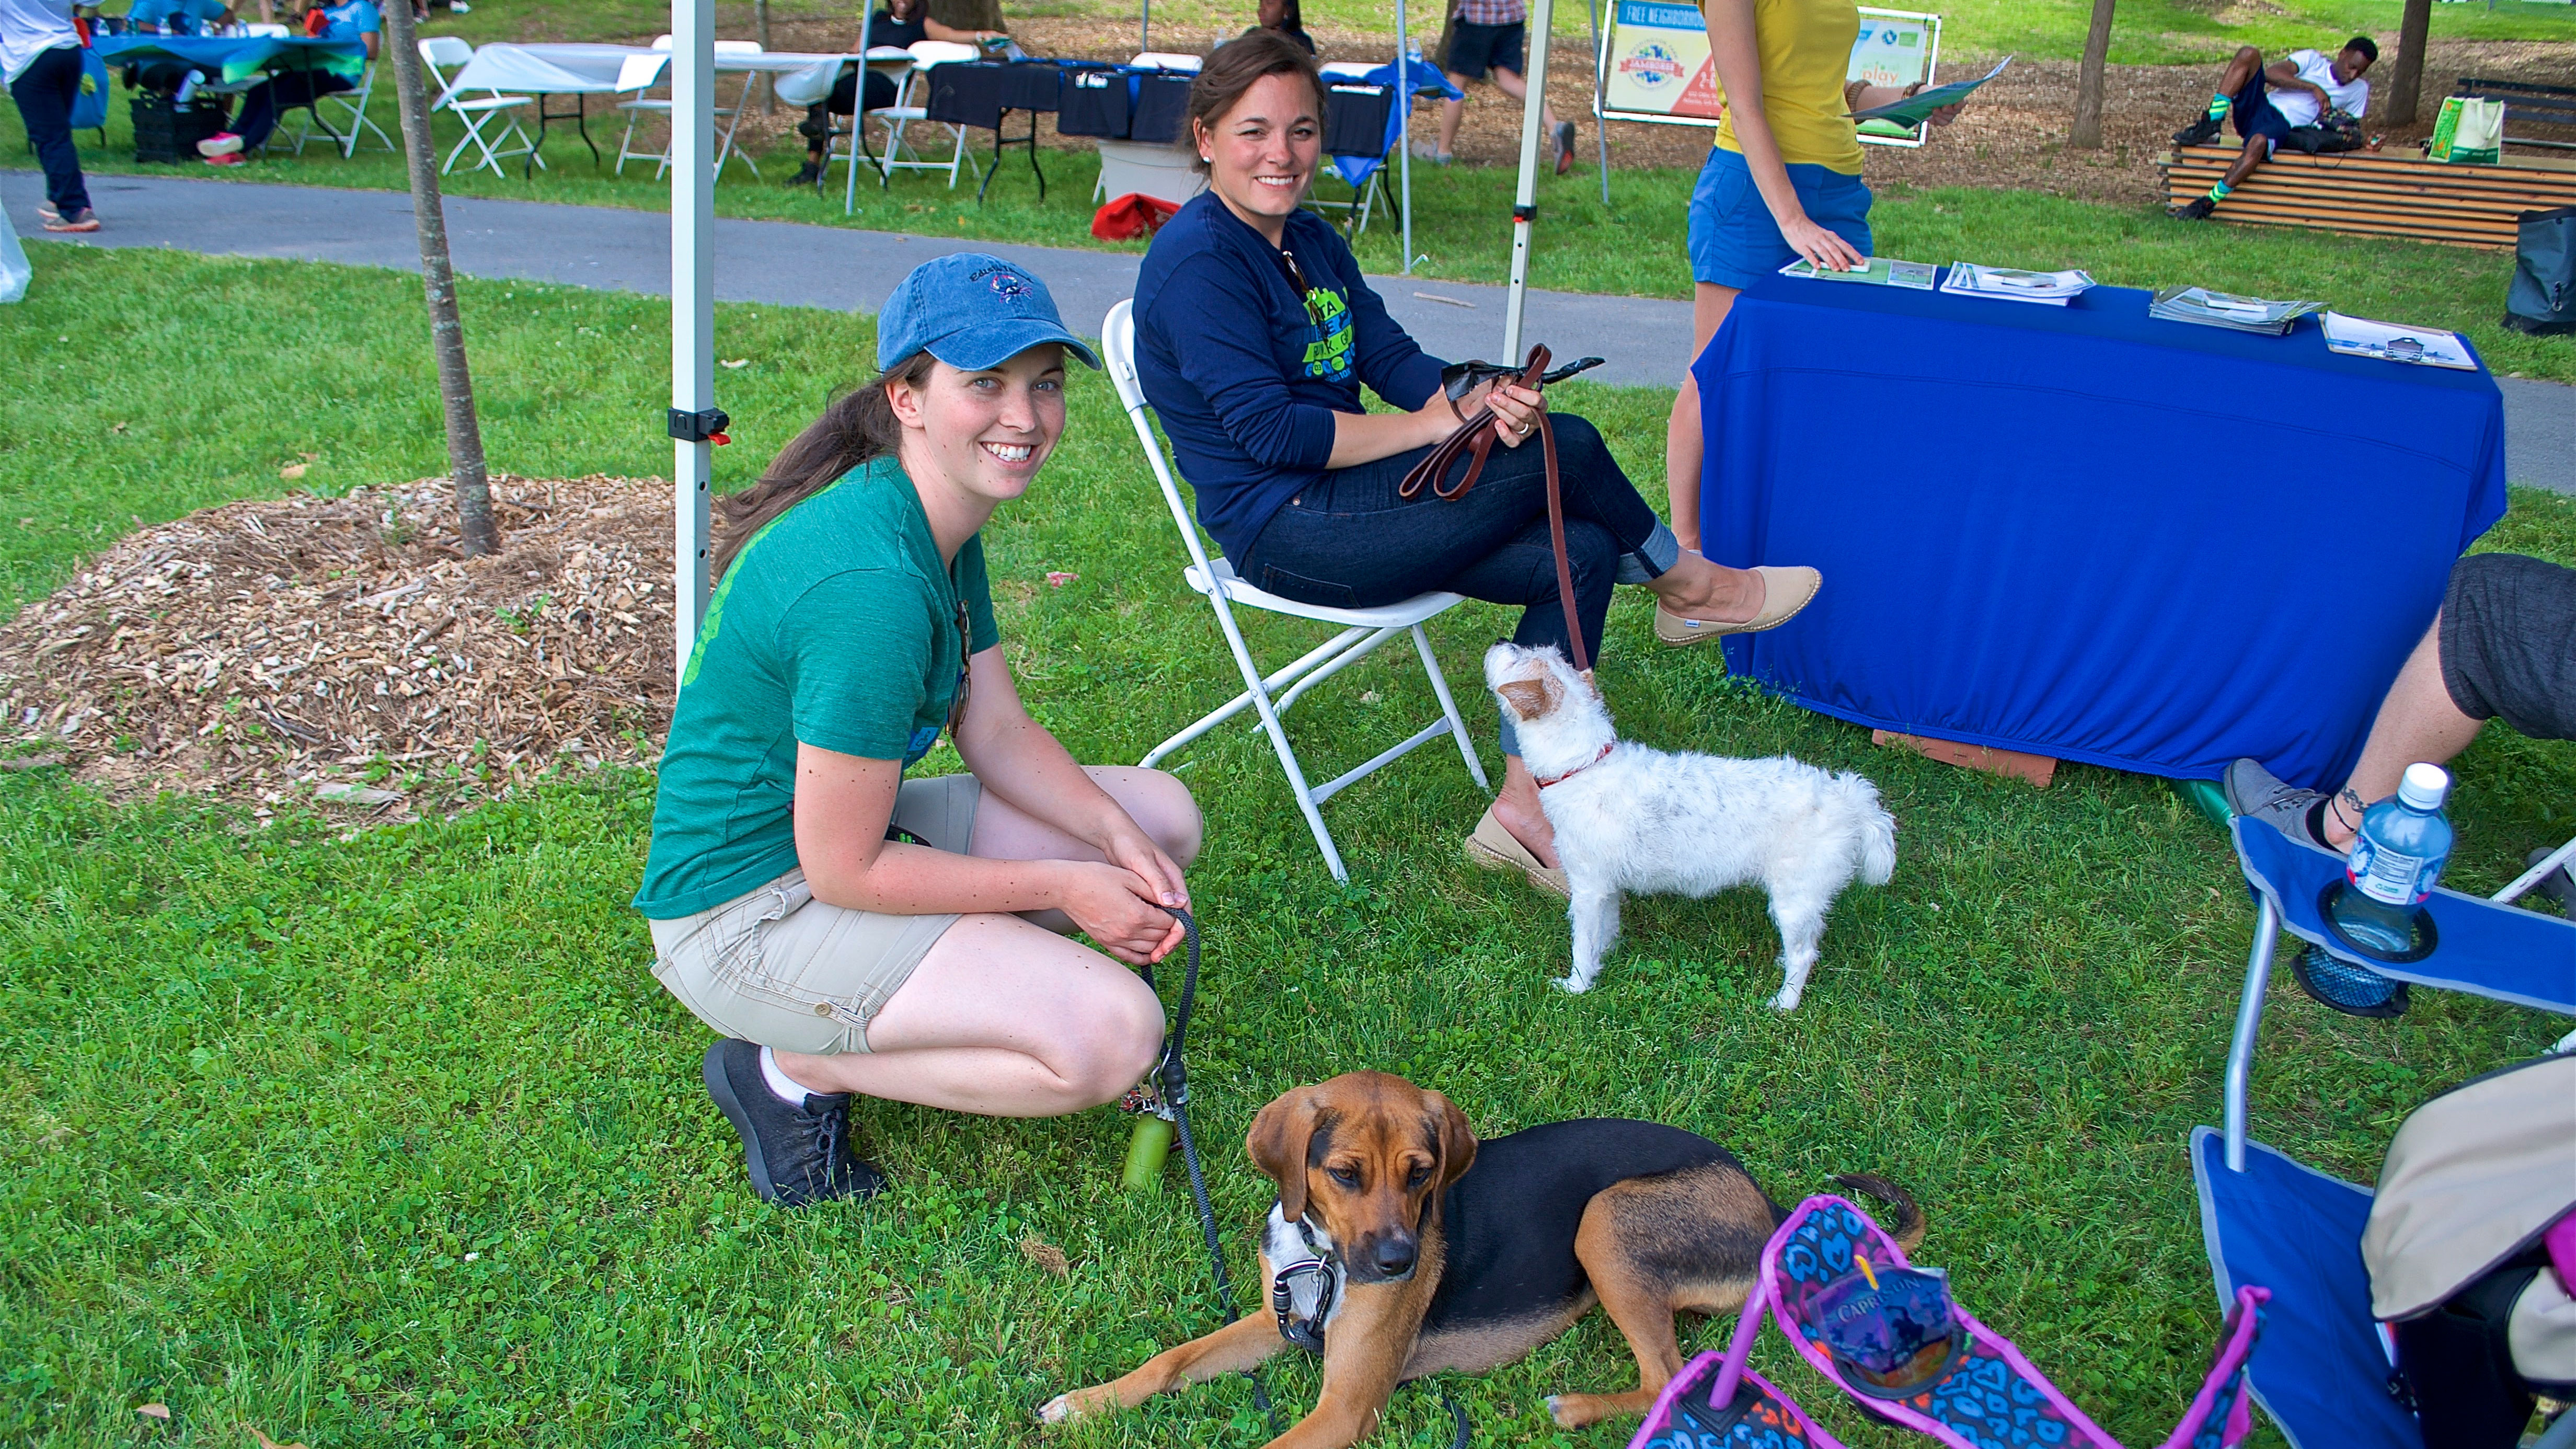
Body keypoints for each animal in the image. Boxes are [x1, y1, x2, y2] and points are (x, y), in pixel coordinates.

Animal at [1036, 1067, 1927, 1433]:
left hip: (1604, 1218)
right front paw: (1085, 1404)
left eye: (1422, 1173)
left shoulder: (1345, 1406)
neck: (1325, 1256)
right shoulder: (1274, 1321)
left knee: (1666, 1378)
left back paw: (1575, 1409)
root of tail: (1766, 1201)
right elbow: (1170, 1361)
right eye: (1344, 1174)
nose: (1399, 1264)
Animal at [1494, 637, 1896, 1010]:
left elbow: (1582, 941)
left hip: (1795, 897)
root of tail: (1849, 800)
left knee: (1804, 954)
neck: (1584, 764)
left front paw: (1577, 984)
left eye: (1517, 659)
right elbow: (1605, 930)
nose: (1501, 641)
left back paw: (1784, 1002)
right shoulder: (1606, 886)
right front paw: (1603, 960)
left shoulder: (1588, 887)